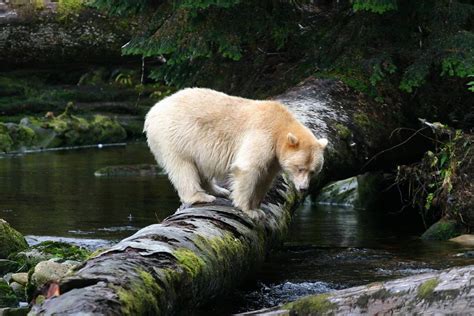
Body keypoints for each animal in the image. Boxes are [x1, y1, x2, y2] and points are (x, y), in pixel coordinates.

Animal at [144, 87, 328, 214]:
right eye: (300, 168)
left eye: (313, 171)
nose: (303, 188)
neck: (280, 124)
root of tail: (152, 111)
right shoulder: (262, 134)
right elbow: (248, 168)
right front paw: (249, 210)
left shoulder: (273, 157)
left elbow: (265, 177)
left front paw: (257, 206)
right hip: (175, 135)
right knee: (182, 166)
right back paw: (200, 196)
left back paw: (218, 190)